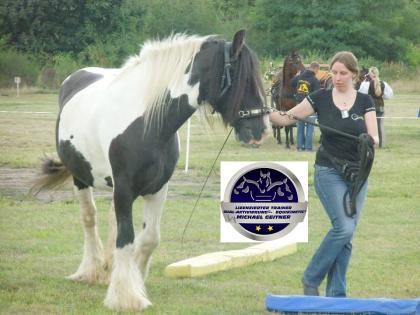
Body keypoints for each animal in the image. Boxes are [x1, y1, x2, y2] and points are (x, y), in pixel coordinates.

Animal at [32, 30, 270, 312]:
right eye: (245, 79)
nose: (261, 131)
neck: (149, 123)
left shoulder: (157, 189)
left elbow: (148, 239)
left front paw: (135, 279)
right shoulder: (124, 188)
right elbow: (126, 237)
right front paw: (126, 297)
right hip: (81, 178)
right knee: (89, 219)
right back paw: (90, 270)